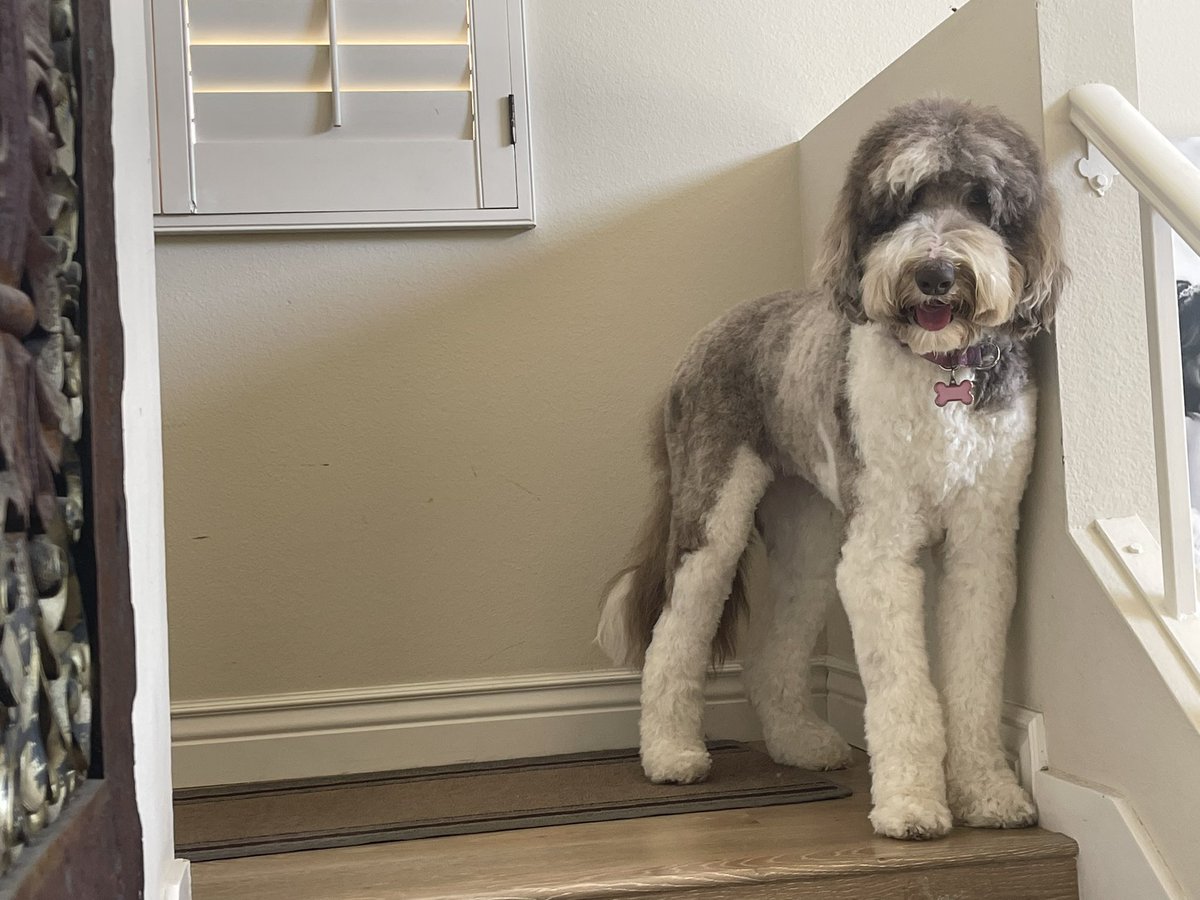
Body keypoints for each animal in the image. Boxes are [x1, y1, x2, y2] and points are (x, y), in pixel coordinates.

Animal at [600, 100, 1070, 844]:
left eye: (980, 200)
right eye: (901, 201)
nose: (936, 274)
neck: (941, 373)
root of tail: (705, 337)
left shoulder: (983, 544)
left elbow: (973, 681)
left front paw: (989, 793)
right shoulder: (880, 549)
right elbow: (904, 690)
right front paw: (911, 806)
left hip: (812, 537)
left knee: (776, 650)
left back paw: (801, 745)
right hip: (713, 512)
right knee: (674, 632)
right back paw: (671, 754)